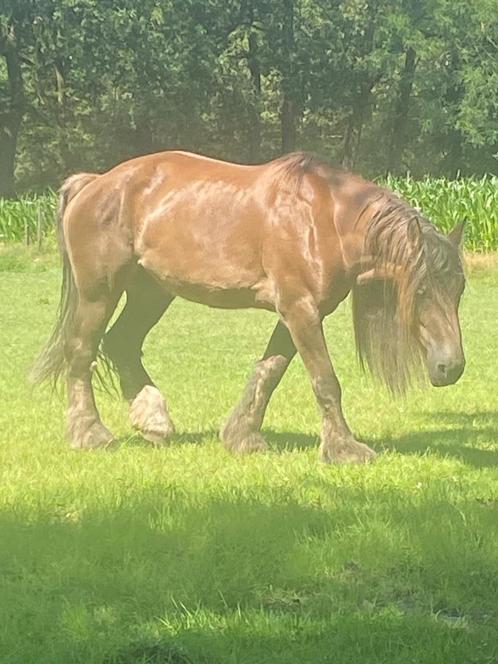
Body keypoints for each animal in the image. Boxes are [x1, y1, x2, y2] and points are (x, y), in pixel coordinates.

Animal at [31, 151, 466, 464]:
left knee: (120, 344)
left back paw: (154, 421)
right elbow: (325, 381)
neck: (324, 219)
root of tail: (93, 184)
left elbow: (269, 371)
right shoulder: (299, 309)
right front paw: (344, 449)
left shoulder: (300, 313)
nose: (451, 367)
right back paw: (90, 434)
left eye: (460, 289)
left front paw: (242, 436)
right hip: (99, 292)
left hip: (150, 291)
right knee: (81, 352)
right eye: (422, 291)